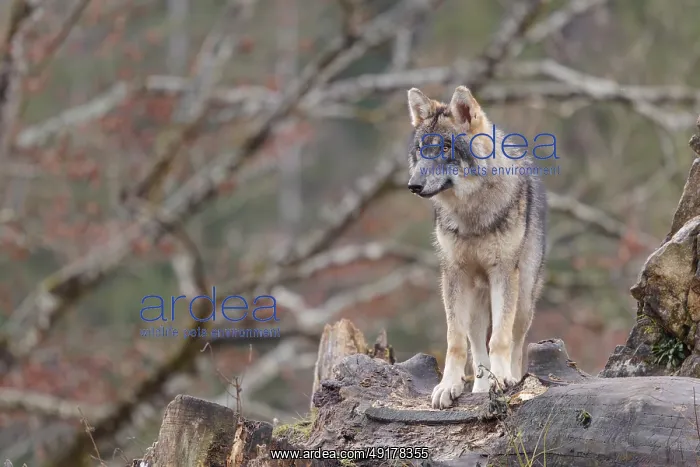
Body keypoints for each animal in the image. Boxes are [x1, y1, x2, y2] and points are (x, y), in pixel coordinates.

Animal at [406, 86, 547, 409]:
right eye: (421, 149)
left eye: (446, 147)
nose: (413, 185)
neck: (471, 215)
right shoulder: (454, 275)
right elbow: (456, 341)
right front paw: (449, 386)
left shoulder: (504, 273)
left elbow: (500, 339)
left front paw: (504, 379)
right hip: (474, 297)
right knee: (475, 344)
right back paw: (481, 387)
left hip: (523, 298)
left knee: (515, 340)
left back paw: (509, 377)